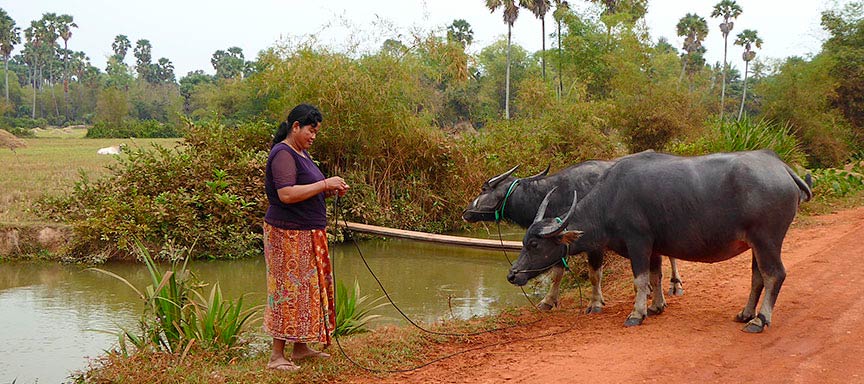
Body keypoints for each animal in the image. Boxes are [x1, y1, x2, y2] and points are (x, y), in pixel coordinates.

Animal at [462, 158, 684, 314]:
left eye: (483, 189)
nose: (466, 212)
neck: (559, 194)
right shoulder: (557, 241)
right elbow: (557, 273)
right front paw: (548, 301)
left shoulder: (593, 243)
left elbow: (594, 275)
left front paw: (596, 303)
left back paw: (675, 284)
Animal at [506, 150, 808, 332]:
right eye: (524, 241)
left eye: (534, 245)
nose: (512, 274)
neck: (611, 199)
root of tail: (781, 167)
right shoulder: (654, 247)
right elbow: (655, 276)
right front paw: (656, 306)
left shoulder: (638, 242)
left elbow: (640, 279)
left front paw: (637, 313)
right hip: (756, 244)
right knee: (758, 276)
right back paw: (745, 313)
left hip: (768, 240)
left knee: (774, 274)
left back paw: (760, 320)